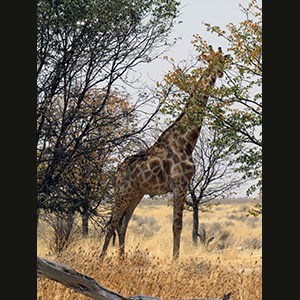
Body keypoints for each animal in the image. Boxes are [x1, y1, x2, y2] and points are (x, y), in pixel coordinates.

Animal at [99, 45, 229, 260]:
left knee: (122, 224)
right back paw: (101, 260)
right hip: (123, 191)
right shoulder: (179, 184)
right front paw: (175, 261)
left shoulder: (182, 185)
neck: (186, 142)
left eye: (223, 60)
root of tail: (116, 171)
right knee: (112, 223)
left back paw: (122, 259)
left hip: (136, 194)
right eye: (211, 61)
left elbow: (178, 226)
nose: (219, 72)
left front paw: (175, 259)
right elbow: (177, 226)